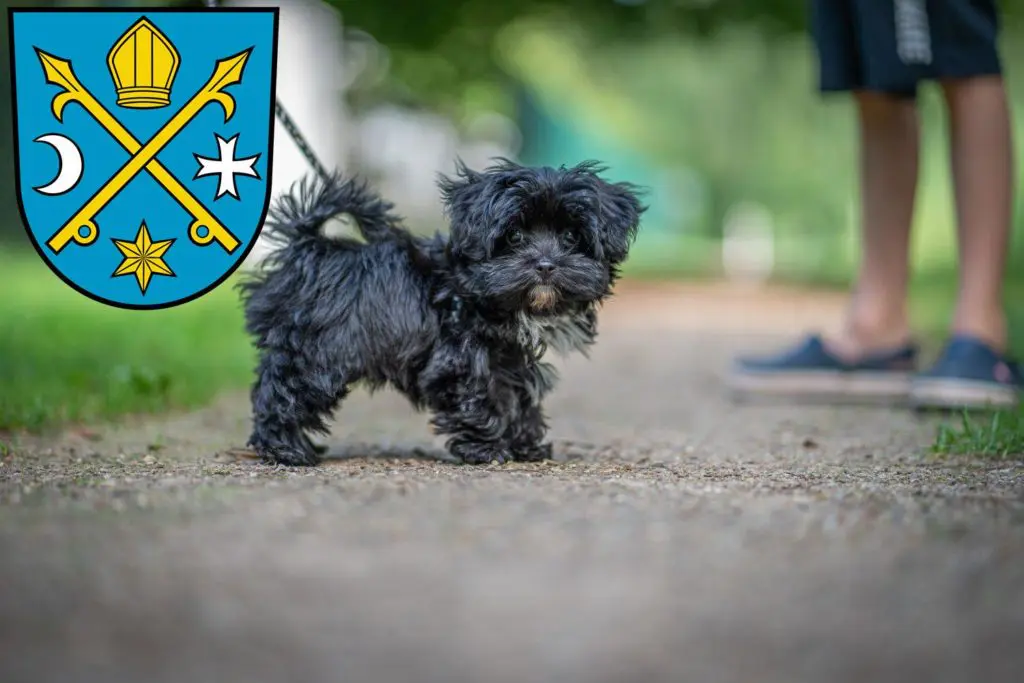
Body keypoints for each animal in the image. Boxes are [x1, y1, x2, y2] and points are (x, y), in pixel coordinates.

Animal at [237, 159, 638, 466]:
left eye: (570, 237)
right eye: (514, 237)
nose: (545, 265)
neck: (474, 289)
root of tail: (309, 248)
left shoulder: (508, 357)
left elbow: (517, 396)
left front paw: (526, 444)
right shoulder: (460, 359)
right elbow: (481, 398)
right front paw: (487, 449)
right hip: (319, 351)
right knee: (283, 389)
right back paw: (286, 450)